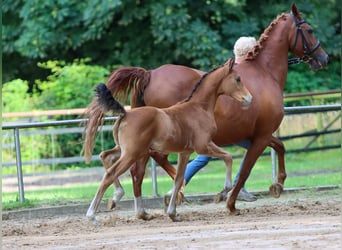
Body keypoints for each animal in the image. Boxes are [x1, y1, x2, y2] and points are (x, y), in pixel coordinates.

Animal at [85, 57, 251, 222]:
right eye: (238, 79)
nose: (249, 98)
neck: (198, 108)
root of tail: (126, 113)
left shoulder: (185, 152)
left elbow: (179, 179)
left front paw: (172, 213)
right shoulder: (203, 146)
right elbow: (228, 157)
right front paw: (223, 191)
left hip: (127, 150)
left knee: (106, 156)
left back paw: (119, 197)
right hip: (132, 153)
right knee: (111, 173)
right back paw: (92, 215)